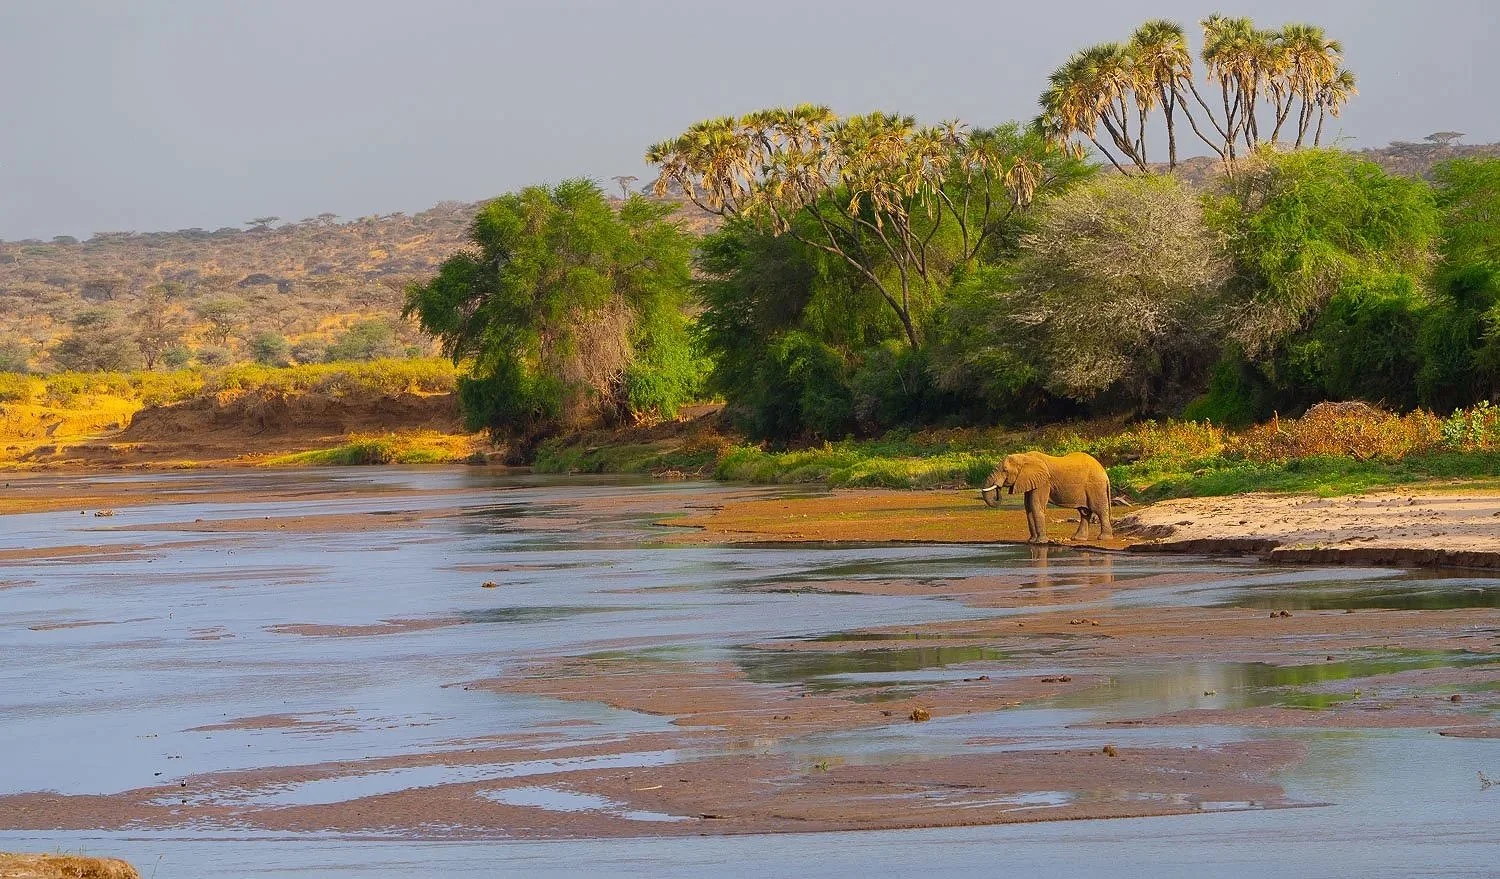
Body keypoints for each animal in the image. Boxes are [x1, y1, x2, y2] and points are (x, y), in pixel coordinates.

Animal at [979, 451, 1113, 544]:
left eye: (1005, 470)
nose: (998, 488)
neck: (1025, 457)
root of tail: (1104, 472)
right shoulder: (1032, 481)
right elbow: (1028, 507)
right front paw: (1032, 541)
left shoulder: (1043, 482)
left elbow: (1036, 505)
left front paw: (1041, 542)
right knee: (1084, 512)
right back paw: (1078, 539)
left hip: (1095, 486)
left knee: (1099, 510)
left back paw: (1104, 538)